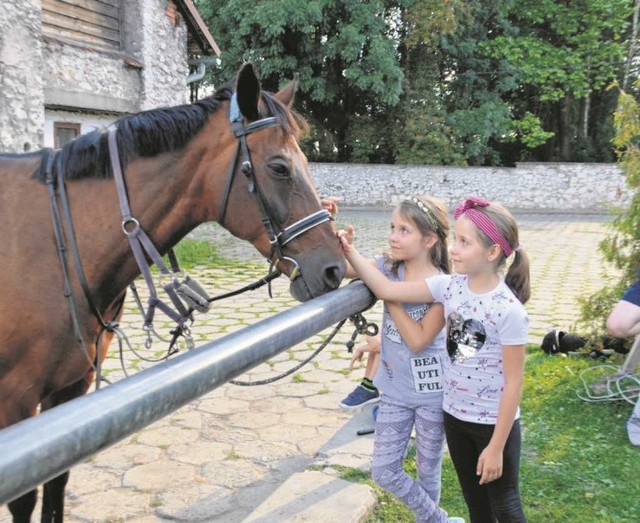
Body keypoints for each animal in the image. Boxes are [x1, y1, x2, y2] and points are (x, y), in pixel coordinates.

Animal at [0, 63, 344, 520]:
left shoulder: (70, 391)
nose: (334, 268)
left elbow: (56, 488)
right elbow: (26, 501)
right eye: (279, 168)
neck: (57, 244)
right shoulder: (16, 403)